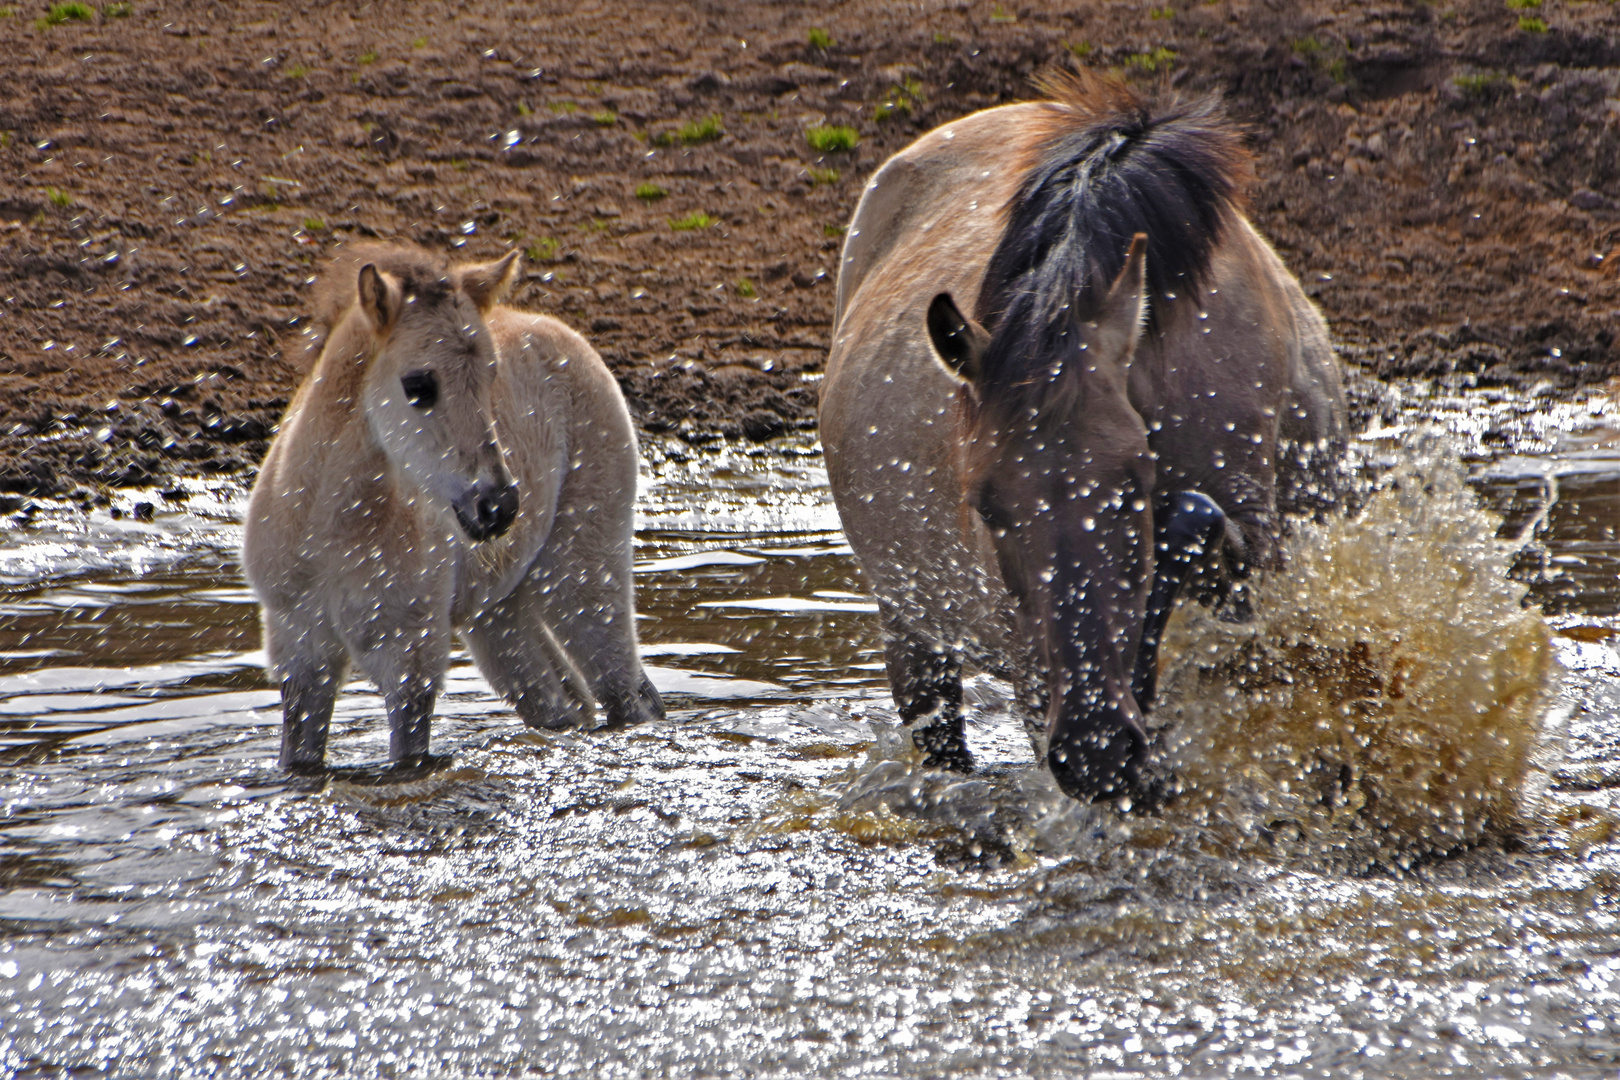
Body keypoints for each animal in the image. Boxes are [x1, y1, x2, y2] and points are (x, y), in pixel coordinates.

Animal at [244, 244, 657, 767]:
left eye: (491, 374)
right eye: (419, 384)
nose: (499, 506)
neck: (327, 537)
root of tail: (565, 335)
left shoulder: (410, 660)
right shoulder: (299, 655)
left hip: (584, 576)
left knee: (627, 696)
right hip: (499, 615)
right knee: (563, 705)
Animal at [822, 76, 1341, 803]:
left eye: (1132, 485)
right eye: (986, 508)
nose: (1096, 747)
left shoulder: (1261, 561)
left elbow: (1195, 525)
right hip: (912, 635)